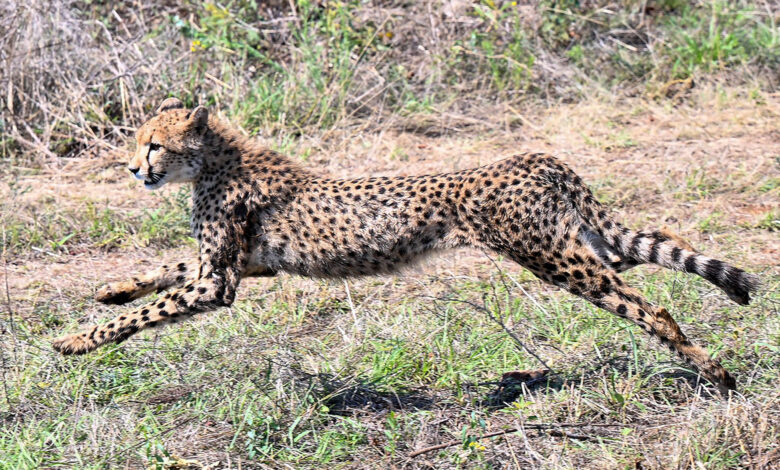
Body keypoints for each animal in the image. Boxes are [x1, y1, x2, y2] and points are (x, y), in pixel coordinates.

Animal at [52, 97, 760, 394]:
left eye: (154, 144)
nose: (133, 169)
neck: (213, 162)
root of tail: (536, 157)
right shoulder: (246, 267)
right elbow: (162, 270)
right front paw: (110, 288)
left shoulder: (220, 281)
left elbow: (147, 312)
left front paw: (75, 341)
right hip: (582, 242)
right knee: (655, 245)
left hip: (553, 257)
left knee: (653, 309)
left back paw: (717, 374)